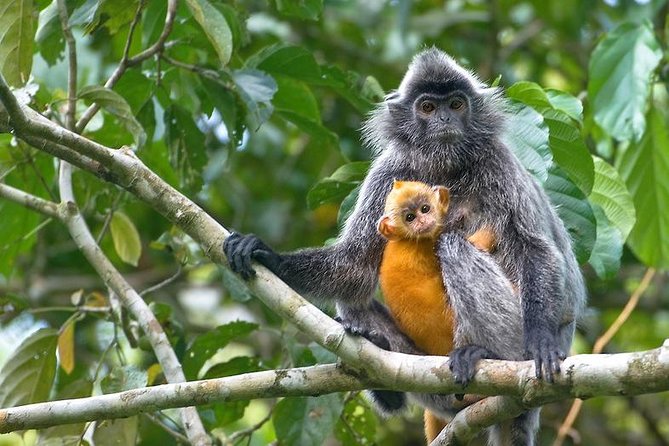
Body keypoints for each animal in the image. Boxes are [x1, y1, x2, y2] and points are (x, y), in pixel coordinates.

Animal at [378, 180, 494, 442]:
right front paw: (488, 235)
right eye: (409, 217)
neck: (405, 240)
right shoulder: (429, 246)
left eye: (425, 208)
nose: (423, 221)